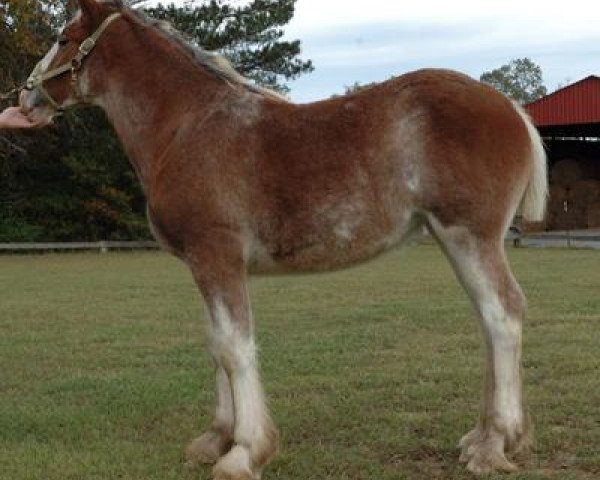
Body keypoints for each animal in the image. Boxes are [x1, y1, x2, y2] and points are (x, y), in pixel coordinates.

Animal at [18, 0, 548, 476]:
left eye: (63, 39)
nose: (25, 98)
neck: (188, 126)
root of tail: (512, 108)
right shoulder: (206, 264)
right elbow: (217, 343)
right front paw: (216, 438)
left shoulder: (216, 255)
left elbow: (235, 347)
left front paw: (244, 452)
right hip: (453, 239)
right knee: (489, 319)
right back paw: (485, 436)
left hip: (468, 236)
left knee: (502, 315)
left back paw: (494, 444)